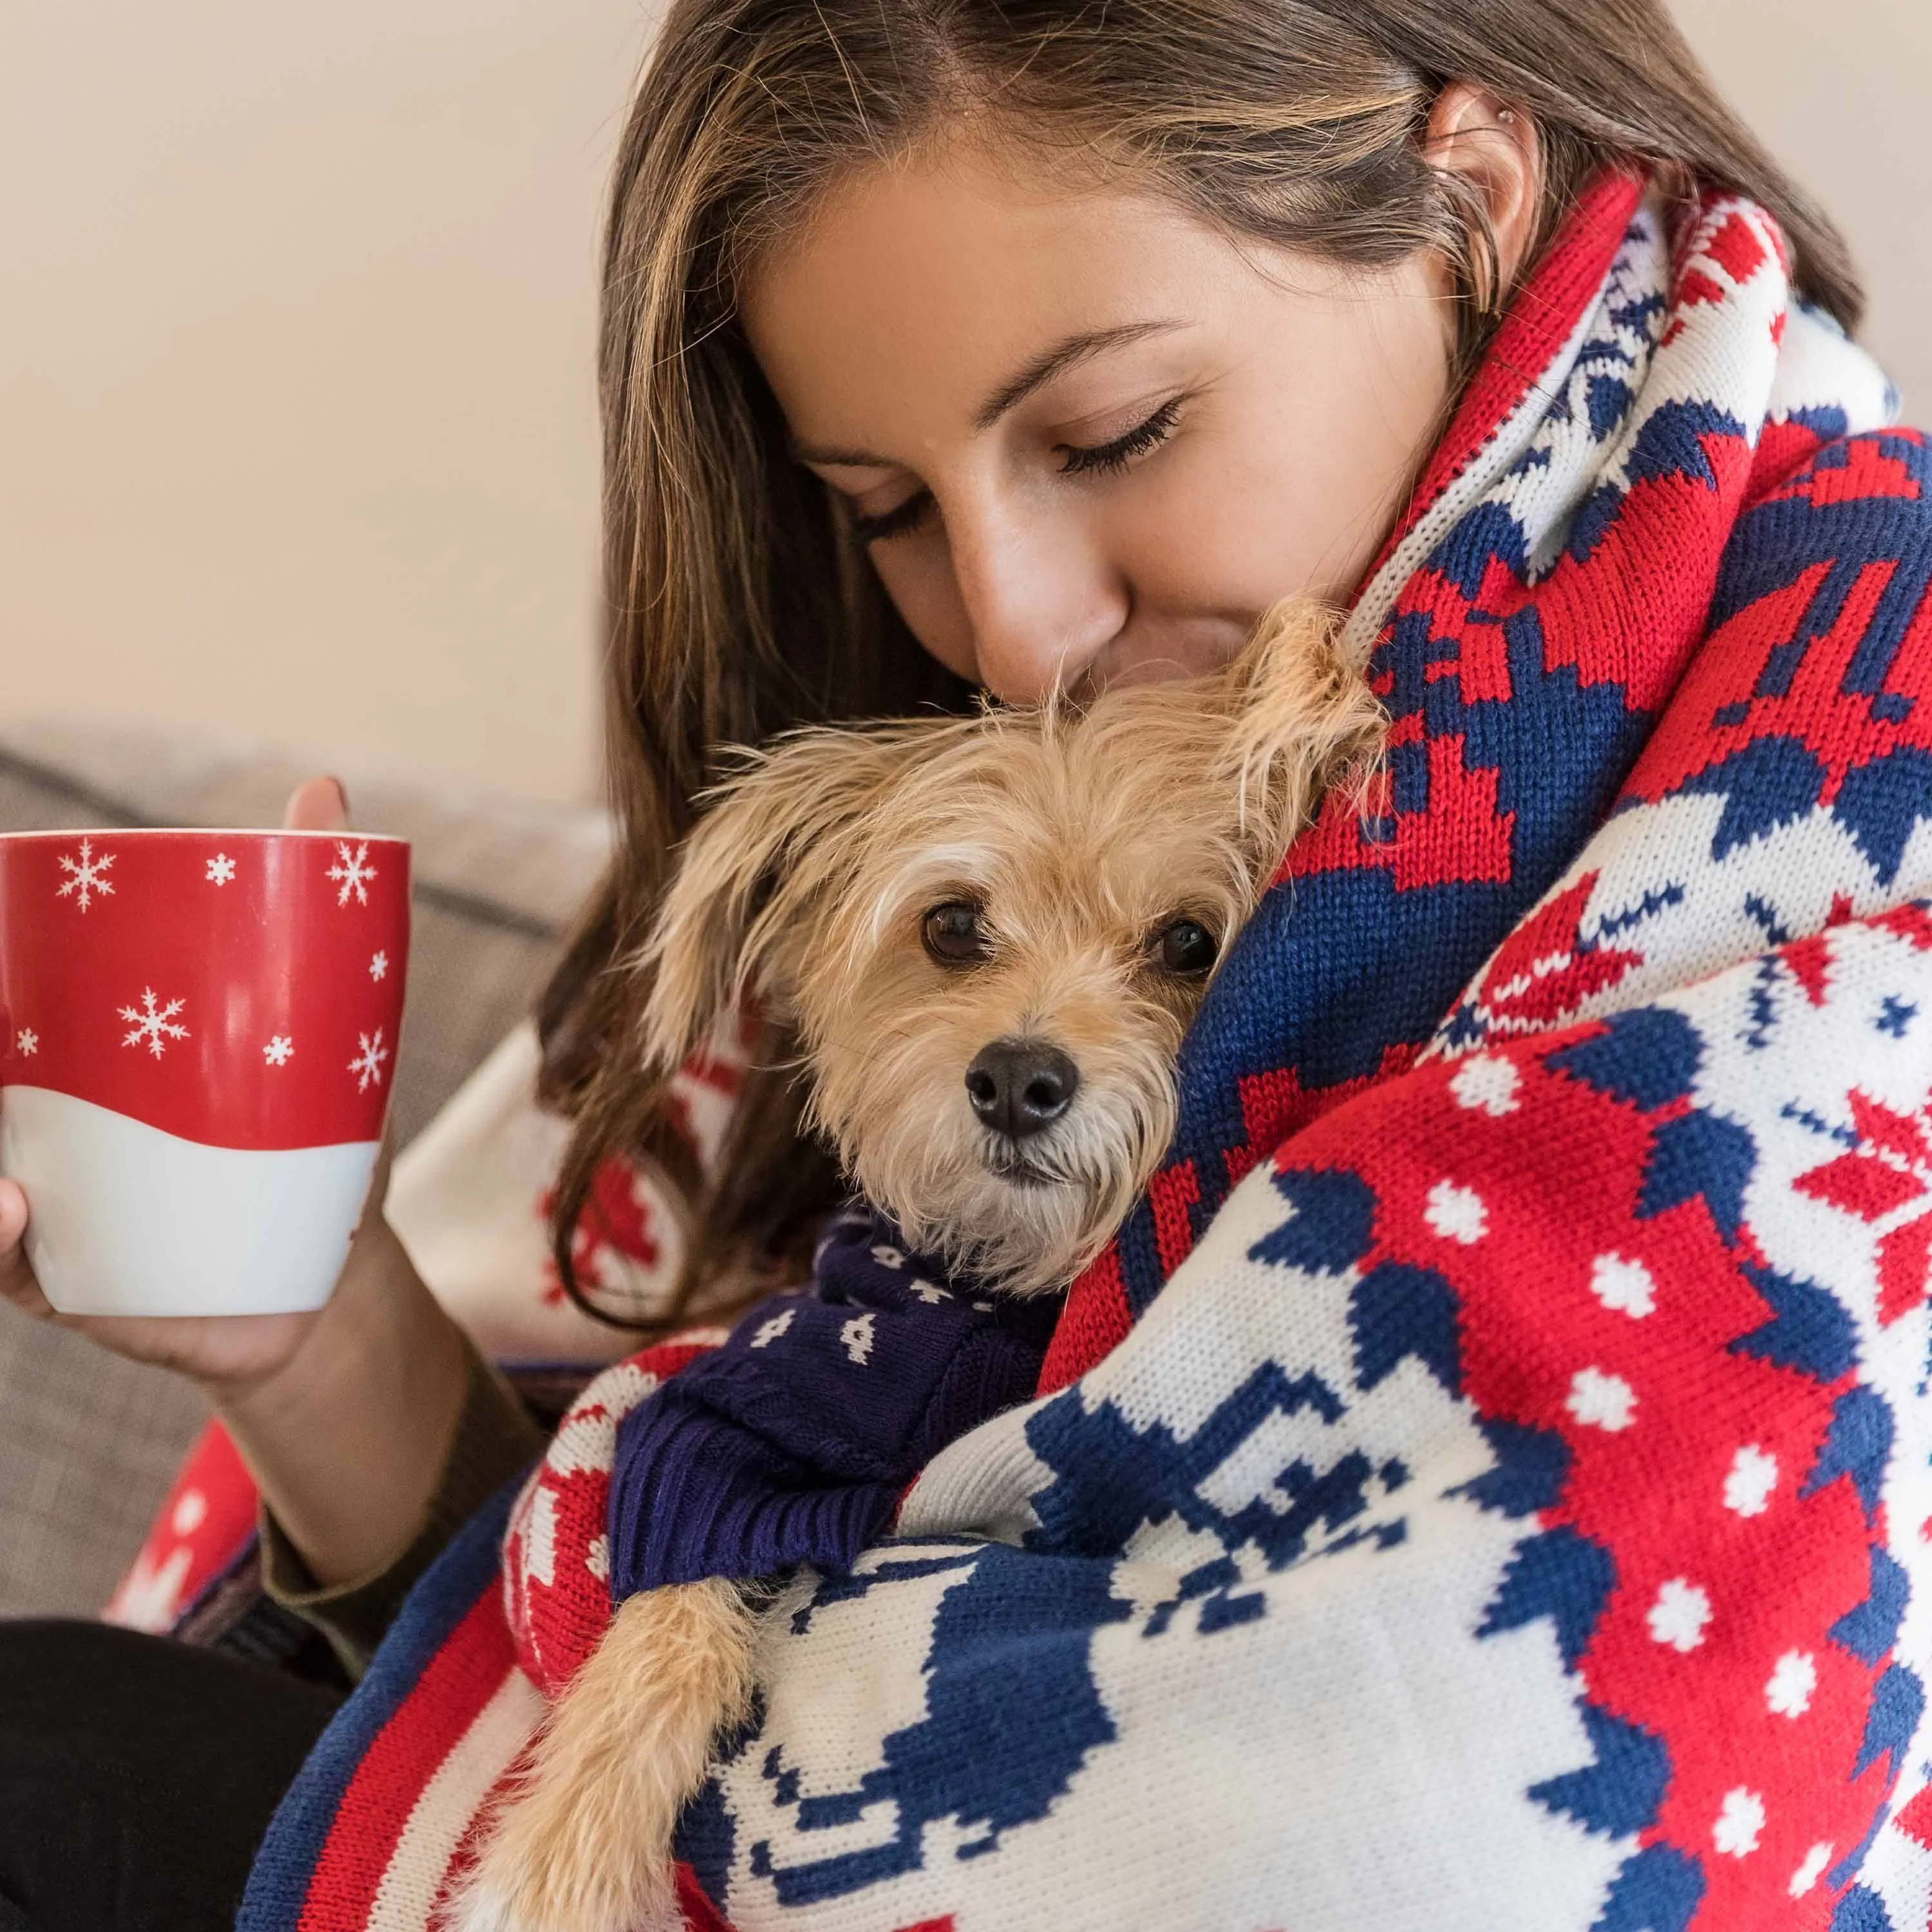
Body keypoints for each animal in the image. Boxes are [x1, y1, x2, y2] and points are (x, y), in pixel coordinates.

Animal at [454, 595, 1391, 1924]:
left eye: (1190, 944)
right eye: (952, 925)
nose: (1018, 1079)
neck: (995, 1276)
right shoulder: (736, 1421)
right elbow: (672, 1609)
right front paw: (567, 1855)